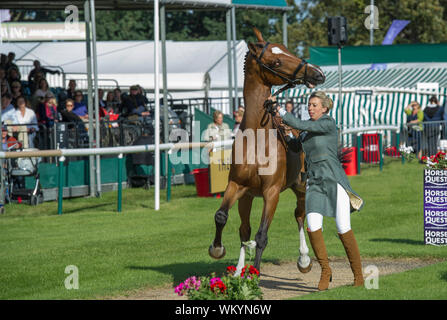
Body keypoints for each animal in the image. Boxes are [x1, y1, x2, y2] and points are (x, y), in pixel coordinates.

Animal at [208, 28, 328, 276]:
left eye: (288, 49)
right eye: (276, 61)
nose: (317, 73)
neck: (256, 140)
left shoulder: (271, 193)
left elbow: (262, 235)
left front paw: (254, 274)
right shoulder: (237, 186)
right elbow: (223, 217)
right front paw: (218, 250)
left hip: (300, 186)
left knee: (300, 215)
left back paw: (304, 259)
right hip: (248, 196)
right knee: (245, 228)